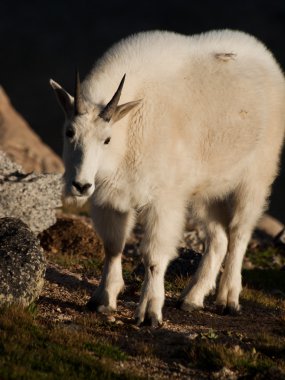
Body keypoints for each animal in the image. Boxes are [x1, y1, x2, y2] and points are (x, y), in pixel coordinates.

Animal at [50, 29, 284, 326]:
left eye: (107, 139)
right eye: (69, 132)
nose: (81, 185)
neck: (128, 130)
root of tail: (269, 61)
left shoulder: (163, 200)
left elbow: (153, 256)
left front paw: (149, 313)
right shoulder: (108, 199)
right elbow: (113, 247)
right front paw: (102, 300)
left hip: (255, 177)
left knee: (239, 234)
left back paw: (229, 299)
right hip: (205, 192)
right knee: (218, 238)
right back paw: (191, 299)